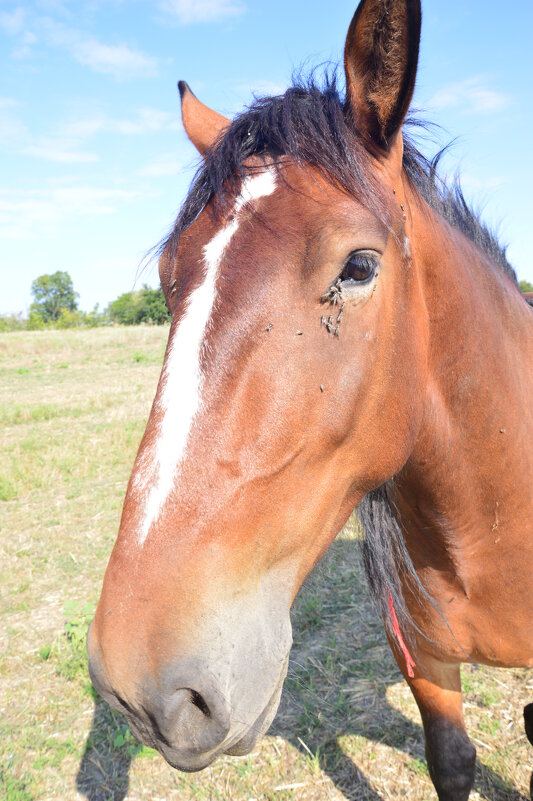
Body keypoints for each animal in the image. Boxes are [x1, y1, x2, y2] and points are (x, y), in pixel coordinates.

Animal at [87, 3, 532, 796]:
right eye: (170, 278)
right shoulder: (425, 666)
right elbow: (452, 762)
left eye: (357, 267)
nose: (140, 683)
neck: (492, 520)